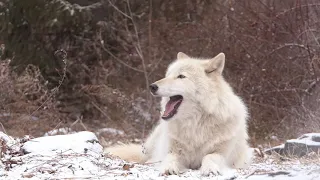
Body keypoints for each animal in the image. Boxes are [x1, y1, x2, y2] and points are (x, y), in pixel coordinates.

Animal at [105, 52, 252, 176]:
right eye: (168, 75)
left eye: (181, 76)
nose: (152, 86)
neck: (195, 123)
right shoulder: (173, 150)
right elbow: (171, 157)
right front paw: (168, 168)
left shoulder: (223, 154)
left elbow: (210, 156)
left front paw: (209, 169)